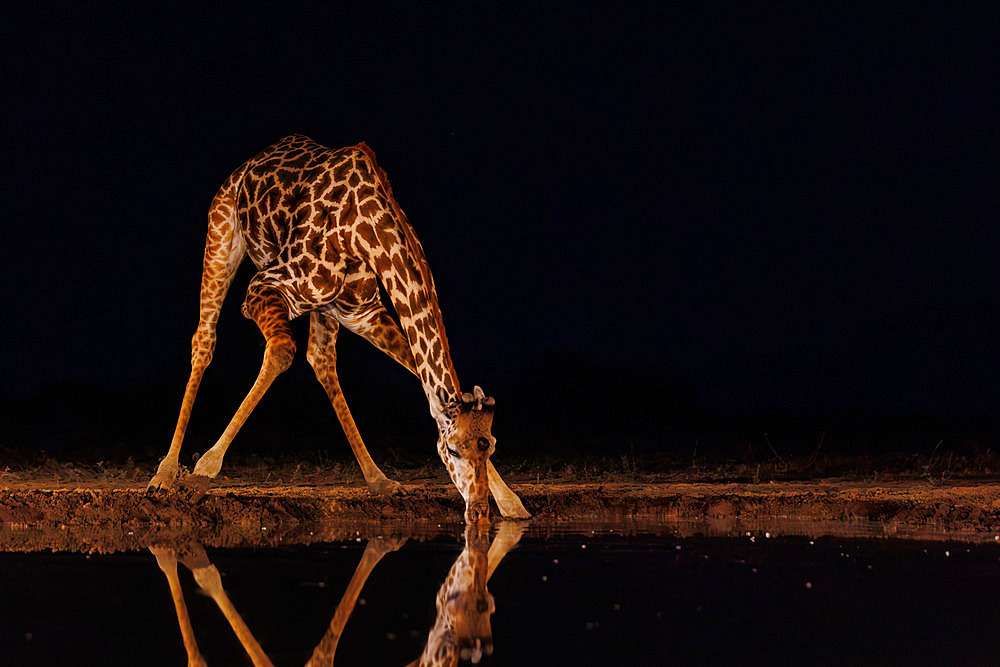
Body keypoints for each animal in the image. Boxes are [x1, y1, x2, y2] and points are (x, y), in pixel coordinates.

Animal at [147, 134, 532, 520]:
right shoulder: (265, 284)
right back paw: (164, 476)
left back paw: (380, 480)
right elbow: (281, 352)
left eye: (491, 446)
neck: (365, 230)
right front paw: (202, 473)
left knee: (321, 360)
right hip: (222, 233)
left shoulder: (362, 312)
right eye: (451, 449)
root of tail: (250, 163)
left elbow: (415, 368)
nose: (478, 511)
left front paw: (512, 503)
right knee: (205, 340)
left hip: (325, 305)